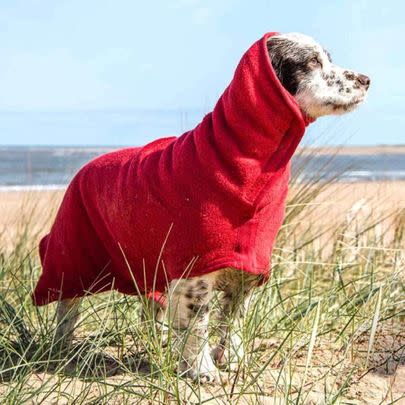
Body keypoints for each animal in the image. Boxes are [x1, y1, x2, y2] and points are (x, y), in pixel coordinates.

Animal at [34, 32, 370, 382]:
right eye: (312, 62)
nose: (366, 80)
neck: (239, 164)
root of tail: (86, 166)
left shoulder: (246, 270)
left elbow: (233, 318)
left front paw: (232, 359)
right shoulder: (195, 270)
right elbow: (198, 324)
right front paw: (202, 371)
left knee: (150, 310)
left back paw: (159, 344)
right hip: (71, 260)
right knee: (67, 308)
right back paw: (59, 351)